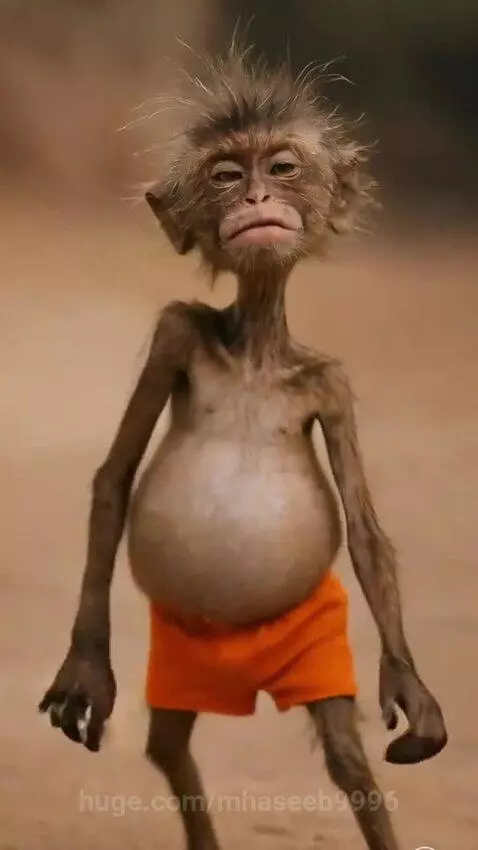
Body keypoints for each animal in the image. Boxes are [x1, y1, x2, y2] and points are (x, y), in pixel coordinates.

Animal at [39, 45, 447, 850]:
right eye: (227, 176)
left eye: (282, 168)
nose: (258, 197)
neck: (256, 344)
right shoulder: (174, 332)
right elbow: (113, 477)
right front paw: (86, 666)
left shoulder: (333, 387)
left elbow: (367, 535)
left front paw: (412, 690)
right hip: (177, 662)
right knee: (169, 743)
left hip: (312, 648)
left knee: (347, 758)